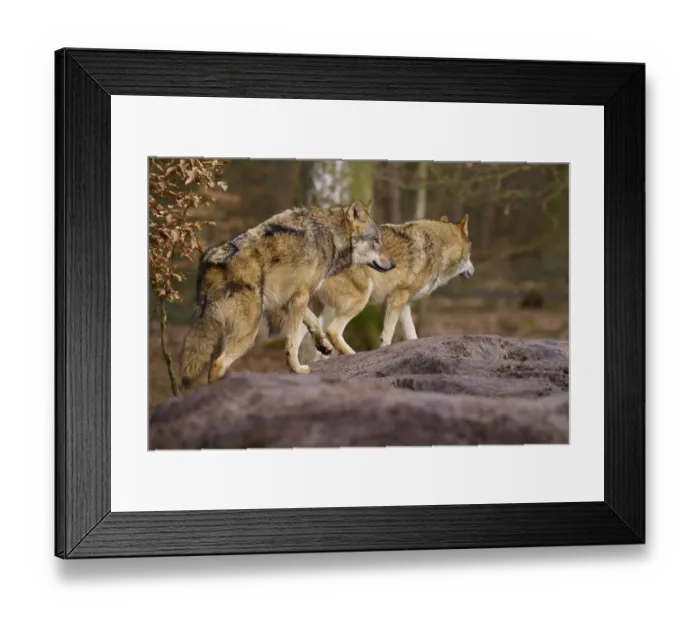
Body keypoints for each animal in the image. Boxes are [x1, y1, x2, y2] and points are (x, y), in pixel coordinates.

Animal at [179, 199, 395, 386]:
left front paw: (323, 345)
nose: (393, 264)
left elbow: (314, 322)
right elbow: (292, 343)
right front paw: (297, 369)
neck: (331, 235)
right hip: (248, 333)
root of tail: (215, 258)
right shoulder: (300, 297)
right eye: (376, 240)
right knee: (217, 365)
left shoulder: (290, 298)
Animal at [305, 213, 475, 357]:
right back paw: (350, 353)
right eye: (470, 253)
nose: (473, 271)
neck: (437, 247)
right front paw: (383, 349)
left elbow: (412, 335)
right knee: (331, 330)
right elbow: (388, 334)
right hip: (360, 300)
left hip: (315, 308)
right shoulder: (397, 298)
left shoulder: (403, 304)